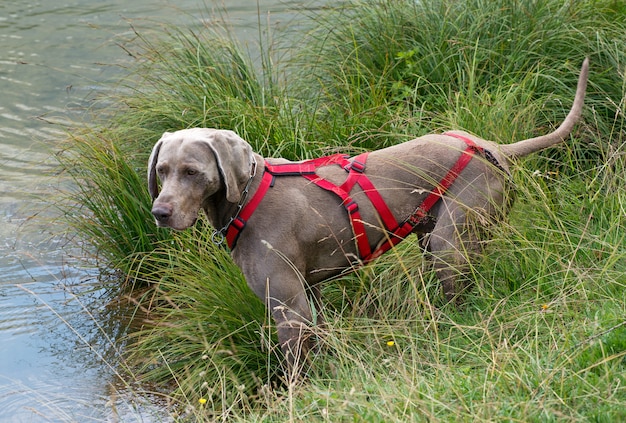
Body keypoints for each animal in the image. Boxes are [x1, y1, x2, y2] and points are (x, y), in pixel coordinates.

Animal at [149, 58, 588, 376]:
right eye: (162, 171)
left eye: (192, 171)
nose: (159, 212)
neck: (248, 197)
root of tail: (494, 146)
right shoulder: (309, 293)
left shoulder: (288, 308)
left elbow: (295, 369)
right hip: (435, 234)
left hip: (450, 238)